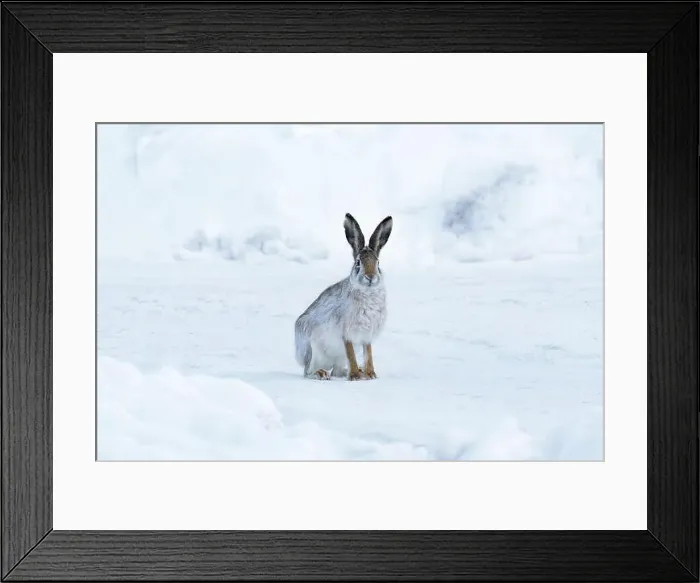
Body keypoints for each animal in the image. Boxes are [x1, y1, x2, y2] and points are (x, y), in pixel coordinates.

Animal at [295, 213, 393, 381]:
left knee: (337, 371)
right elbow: (351, 354)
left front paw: (370, 374)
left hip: (337, 359)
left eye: (378, 263)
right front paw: (354, 377)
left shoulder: (366, 337)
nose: (370, 277)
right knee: (307, 372)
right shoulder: (346, 334)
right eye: (358, 263)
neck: (368, 292)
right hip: (312, 350)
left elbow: (368, 354)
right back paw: (321, 373)